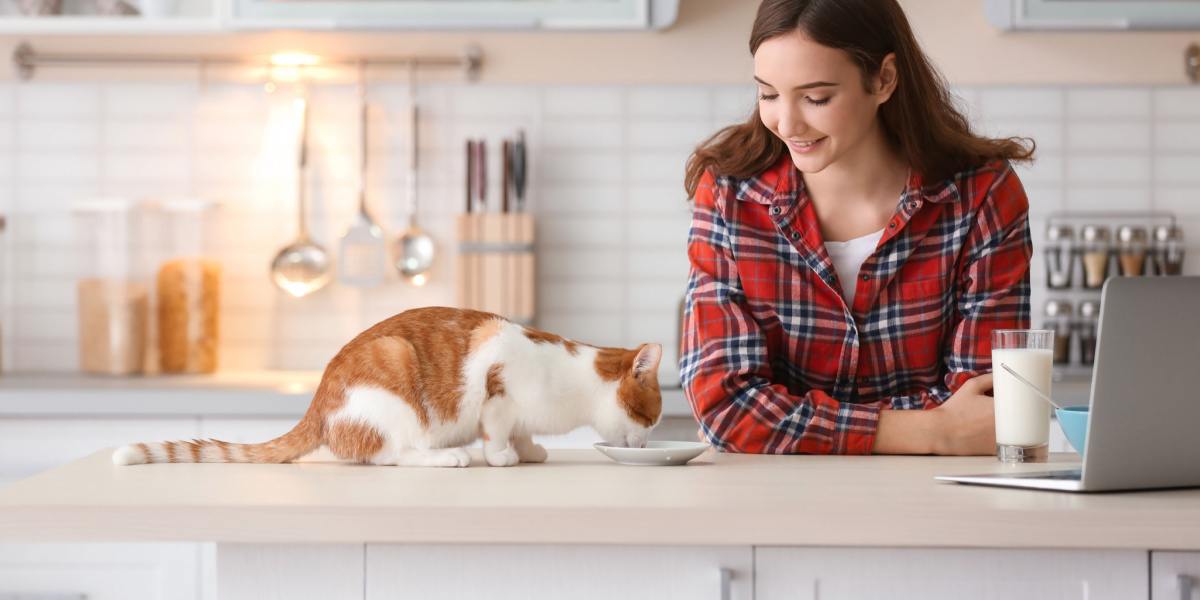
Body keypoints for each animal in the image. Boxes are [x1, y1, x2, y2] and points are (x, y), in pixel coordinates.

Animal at [112, 309, 667, 468]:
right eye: (651, 418)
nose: (647, 442)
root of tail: (318, 403)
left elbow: (526, 434)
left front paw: (530, 450)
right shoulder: (498, 384)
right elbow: (496, 430)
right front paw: (503, 456)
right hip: (394, 377)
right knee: (389, 455)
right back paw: (448, 458)